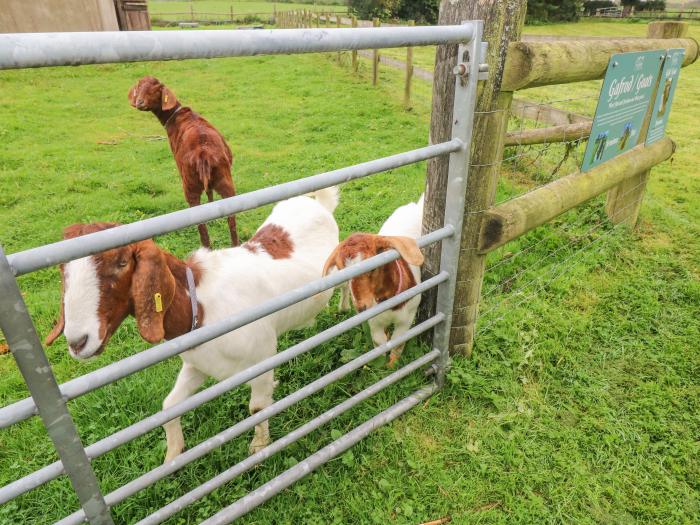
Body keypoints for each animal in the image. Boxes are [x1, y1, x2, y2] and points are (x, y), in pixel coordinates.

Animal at [45, 186, 340, 460]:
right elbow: (169, 406)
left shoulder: (262, 357)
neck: (200, 305)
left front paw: (258, 449)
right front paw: (173, 455)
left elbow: (257, 408)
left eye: (121, 262)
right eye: (62, 271)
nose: (77, 342)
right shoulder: (197, 364)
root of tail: (317, 203)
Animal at [130, 74, 239, 247]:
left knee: (202, 228)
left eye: (156, 90)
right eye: (139, 87)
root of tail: (203, 154)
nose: (139, 102)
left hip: (189, 184)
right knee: (231, 220)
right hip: (225, 179)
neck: (176, 116)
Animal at [322, 194, 424, 366]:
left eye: (372, 267)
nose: (361, 308)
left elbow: (398, 342)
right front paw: (381, 362)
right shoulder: (374, 321)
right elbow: (379, 341)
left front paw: (392, 365)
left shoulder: (407, 317)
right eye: (342, 271)